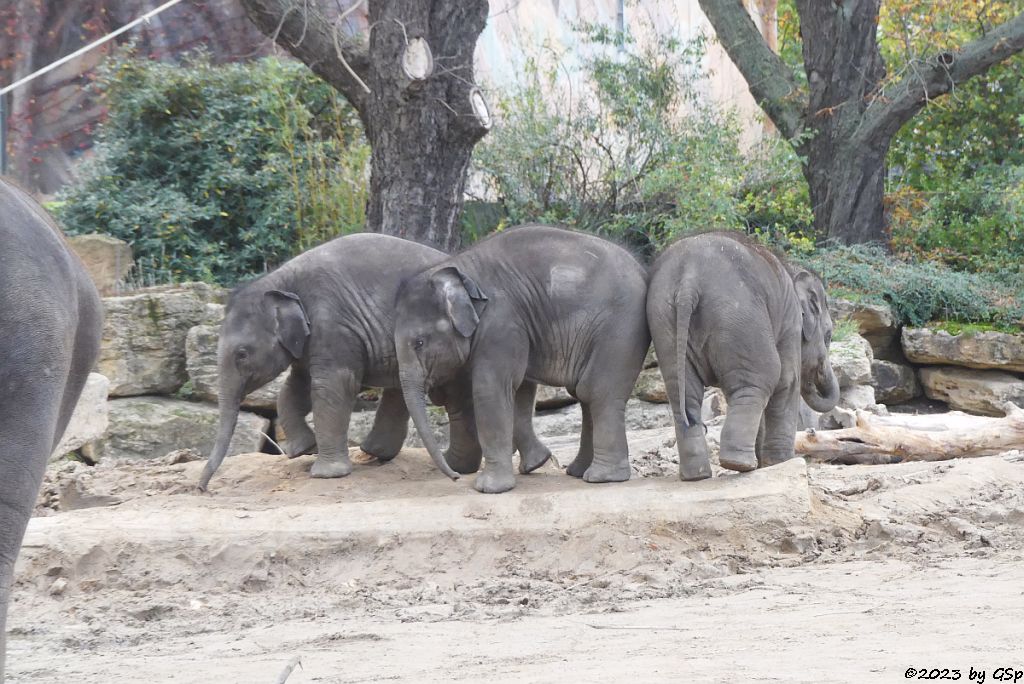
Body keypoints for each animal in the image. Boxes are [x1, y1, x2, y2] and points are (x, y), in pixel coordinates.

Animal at [203, 232, 487, 489]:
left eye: (241, 354)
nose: (202, 487)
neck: (280, 279)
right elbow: (295, 387)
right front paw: (303, 450)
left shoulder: (332, 324)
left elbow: (332, 384)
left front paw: (326, 474)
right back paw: (382, 454)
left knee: (452, 397)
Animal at [391, 223, 647, 491]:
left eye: (419, 343)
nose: (456, 476)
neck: (461, 267)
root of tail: (642, 271)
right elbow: (519, 389)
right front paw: (536, 464)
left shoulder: (502, 322)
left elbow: (491, 388)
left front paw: (488, 489)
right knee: (584, 393)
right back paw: (579, 472)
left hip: (619, 331)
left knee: (597, 391)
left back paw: (602, 477)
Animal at [647, 232, 839, 479]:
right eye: (829, 335)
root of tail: (688, 281)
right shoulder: (791, 323)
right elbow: (788, 380)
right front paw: (780, 463)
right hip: (739, 317)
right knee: (764, 378)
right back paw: (739, 464)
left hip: (665, 322)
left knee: (687, 394)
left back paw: (698, 475)